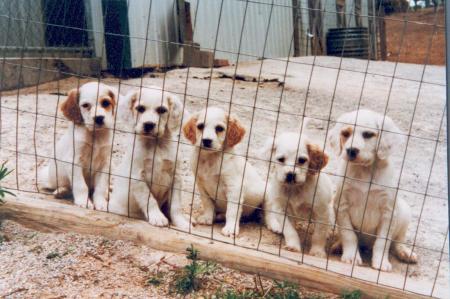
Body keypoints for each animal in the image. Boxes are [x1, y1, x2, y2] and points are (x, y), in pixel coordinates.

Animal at [38, 82, 118, 211]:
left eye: (105, 103)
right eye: (85, 105)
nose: (99, 118)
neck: (94, 135)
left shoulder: (105, 163)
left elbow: (100, 187)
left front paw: (101, 203)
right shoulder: (74, 161)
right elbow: (81, 186)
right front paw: (84, 202)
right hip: (46, 176)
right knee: (66, 186)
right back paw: (61, 191)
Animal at [110, 87, 192, 232]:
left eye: (162, 110)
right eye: (140, 108)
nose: (148, 124)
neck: (155, 144)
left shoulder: (176, 176)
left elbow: (176, 205)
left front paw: (181, 223)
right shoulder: (137, 176)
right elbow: (150, 199)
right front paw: (157, 217)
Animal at [184, 107, 268, 237]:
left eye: (219, 128)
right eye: (200, 126)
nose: (206, 141)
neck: (210, 158)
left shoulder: (234, 188)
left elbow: (232, 211)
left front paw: (230, 228)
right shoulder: (201, 185)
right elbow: (208, 203)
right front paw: (208, 218)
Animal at [326, 109, 418, 272]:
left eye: (368, 135)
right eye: (345, 133)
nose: (351, 150)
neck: (365, 170)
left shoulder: (389, 211)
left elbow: (382, 242)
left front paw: (381, 262)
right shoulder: (341, 205)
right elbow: (349, 235)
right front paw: (351, 257)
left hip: (405, 213)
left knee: (398, 240)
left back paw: (405, 252)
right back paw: (337, 245)